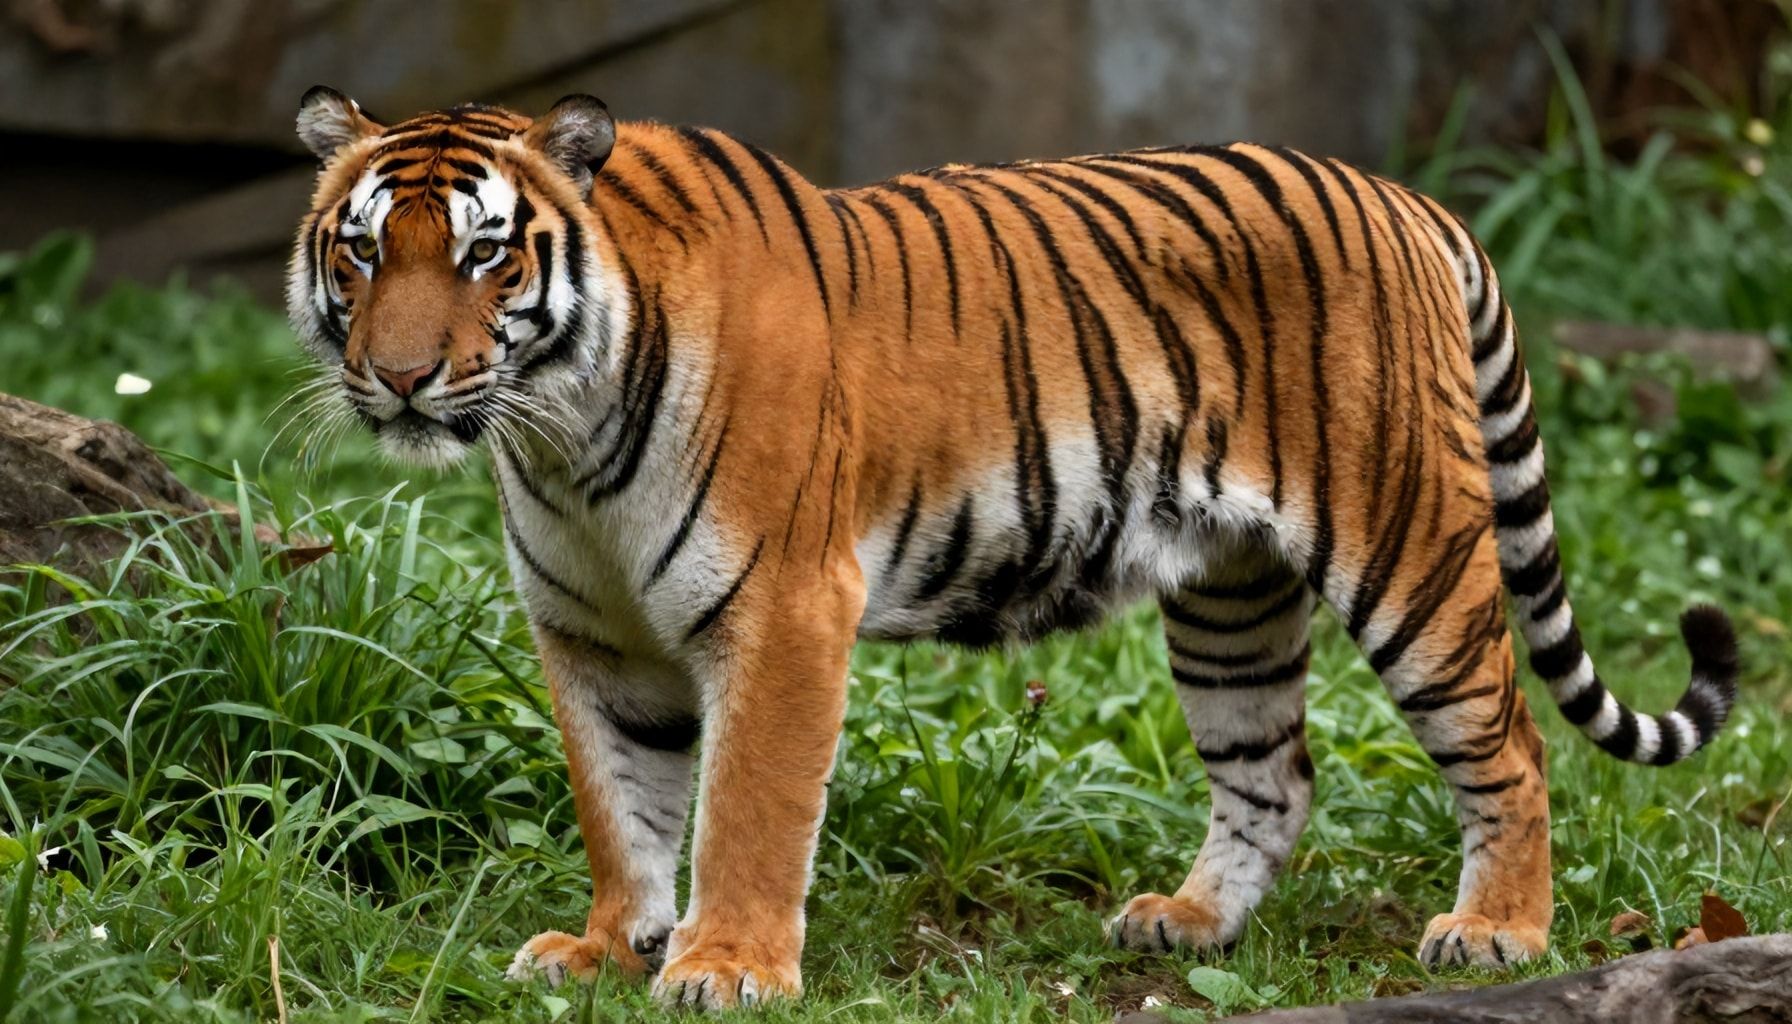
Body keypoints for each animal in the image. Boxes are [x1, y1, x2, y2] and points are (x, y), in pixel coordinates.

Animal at [286, 86, 1740, 1010]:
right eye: (359, 255)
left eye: (485, 256)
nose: (401, 380)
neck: (560, 434)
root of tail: (1411, 200)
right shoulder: (592, 637)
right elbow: (620, 805)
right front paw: (609, 948)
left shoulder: (784, 609)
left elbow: (746, 806)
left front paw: (727, 966)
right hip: (1231, 597)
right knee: (1274, 773)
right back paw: (1188, 923)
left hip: (1412, 548)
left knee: (1513, 743)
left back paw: (1496, 933)